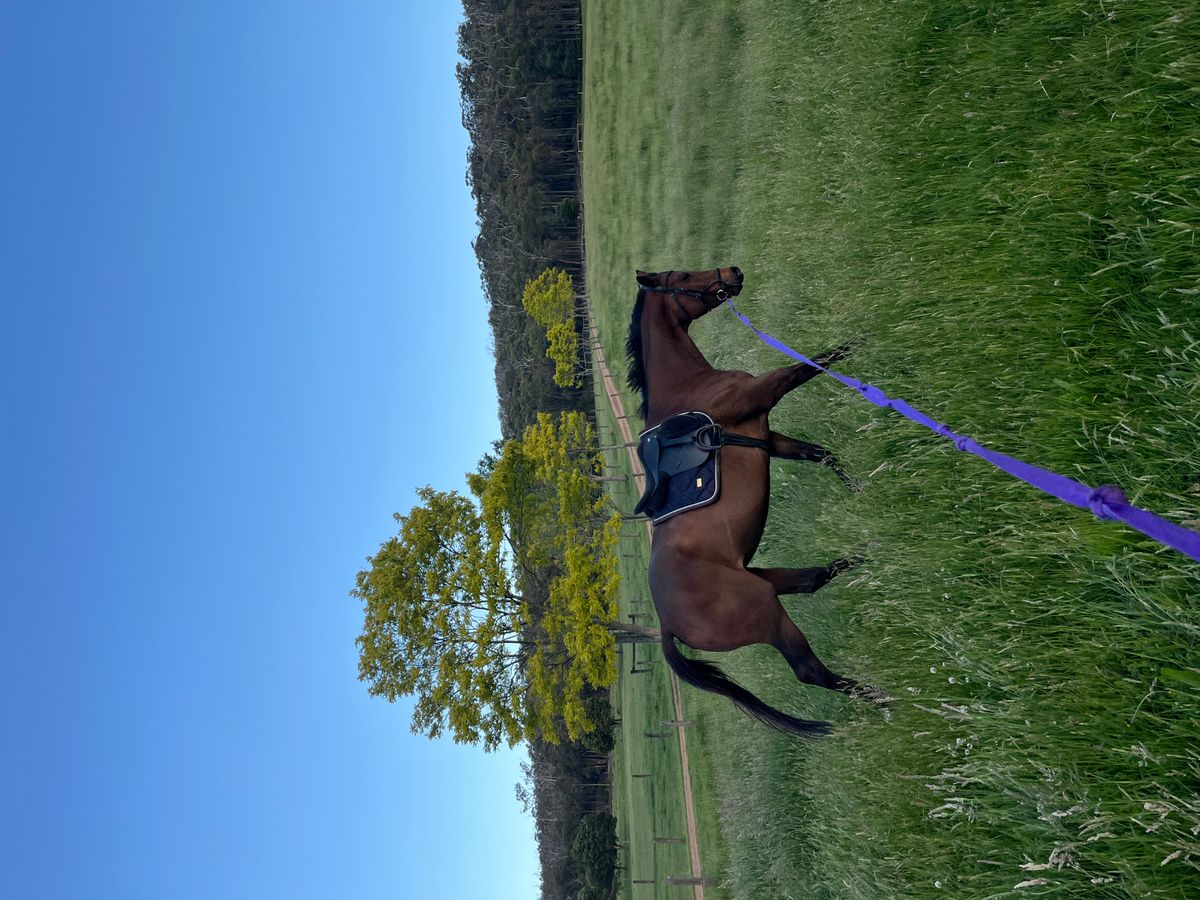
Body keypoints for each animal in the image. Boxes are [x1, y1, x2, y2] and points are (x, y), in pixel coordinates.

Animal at [626, 266, 870, 738]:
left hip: (762, 582)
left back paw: (867, 557)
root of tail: (665, 625)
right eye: (685, 275)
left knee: (812, 580)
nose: (732, 273)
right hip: (766, 614)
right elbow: (808, 366)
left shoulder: (767, 438)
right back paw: (884, 700)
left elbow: (820, 454)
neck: (690, 387)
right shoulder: (764, 395)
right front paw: (858, 344)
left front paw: (859, 488)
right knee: (810, 671)